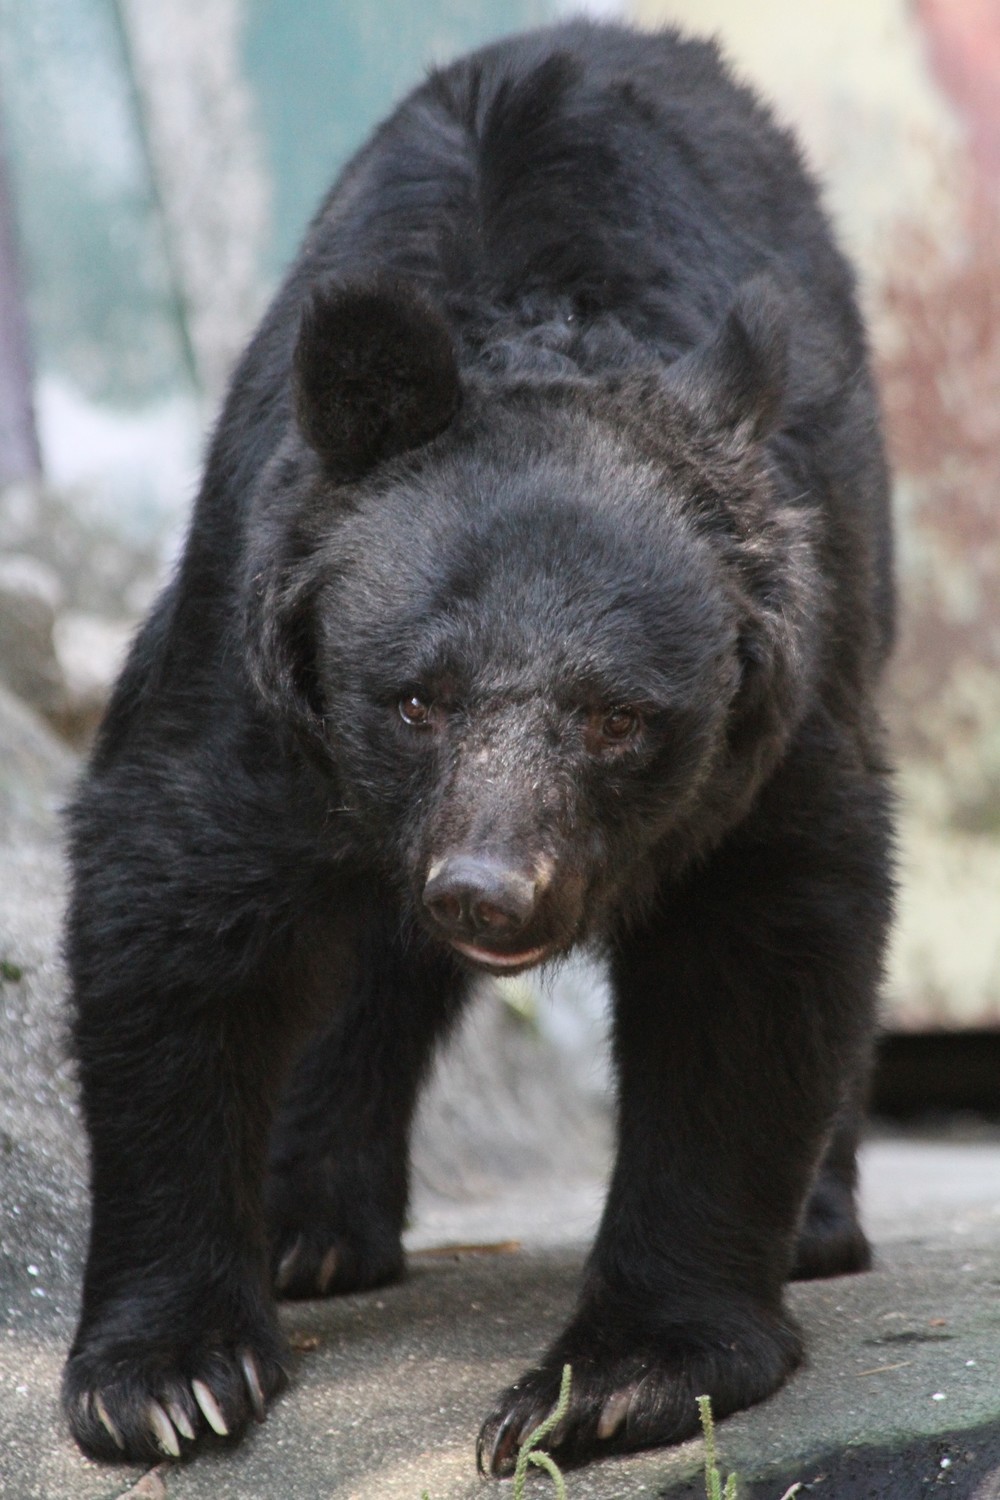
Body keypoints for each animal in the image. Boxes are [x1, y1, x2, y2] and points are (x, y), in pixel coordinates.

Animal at [62, 17, 893, 1476]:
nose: (490, 892)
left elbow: (759, 959)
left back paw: (818, 1216)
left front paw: (614, 1378)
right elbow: (174, 916)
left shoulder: (780, 706)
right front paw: (166, 1378)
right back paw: (310, 1223)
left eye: (621, 717)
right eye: (416, 701)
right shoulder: (257, 658)